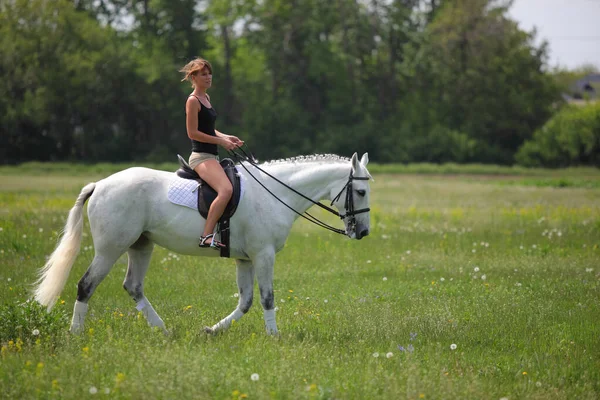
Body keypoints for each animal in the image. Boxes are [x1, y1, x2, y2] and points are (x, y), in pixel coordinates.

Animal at [34, 152, 370, 334]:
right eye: (362, 192)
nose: (363, 233)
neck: (274, 192)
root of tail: (100, 184)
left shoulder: (245, 258)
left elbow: (246, 301)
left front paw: (211, 330)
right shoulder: (263, 255)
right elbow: (266, 298)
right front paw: (275, 337)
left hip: (141, 245)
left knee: (133, 286)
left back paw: (164, 331)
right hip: (110, 249)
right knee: (86, 285)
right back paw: (76, 333)